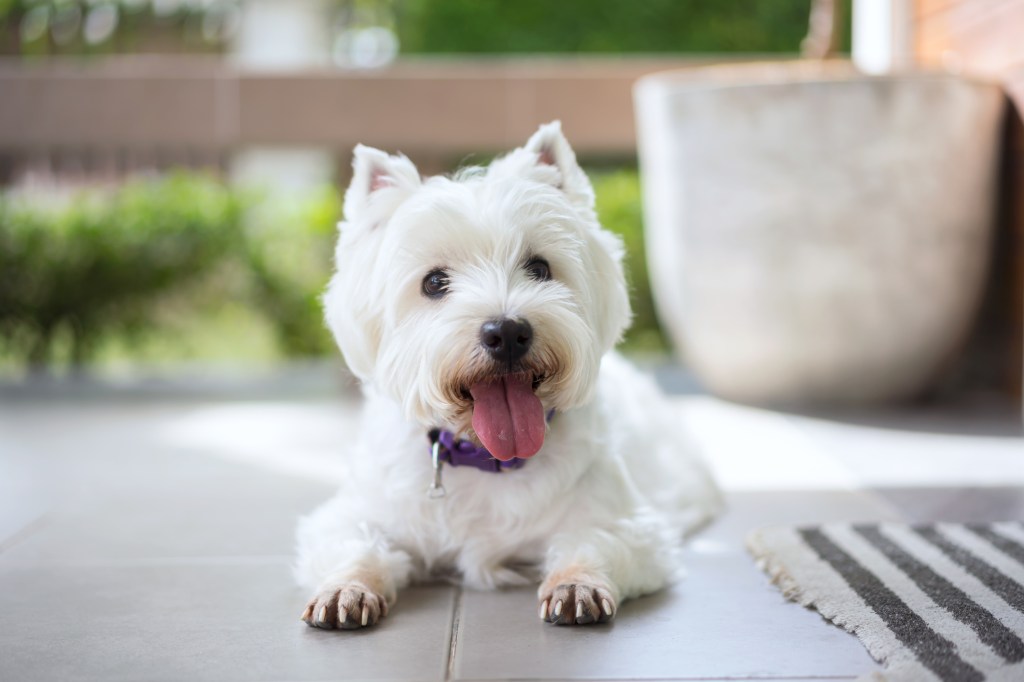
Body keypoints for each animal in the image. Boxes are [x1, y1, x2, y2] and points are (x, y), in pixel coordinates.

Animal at [296, 120, 720, 626]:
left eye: (539, 267)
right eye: (434, 282)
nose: (507, 332)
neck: (487, 460)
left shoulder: (628, 524)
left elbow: (592, 541)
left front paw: (576, 586)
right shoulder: (355, 512)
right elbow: (353, 543)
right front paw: (347, 589)